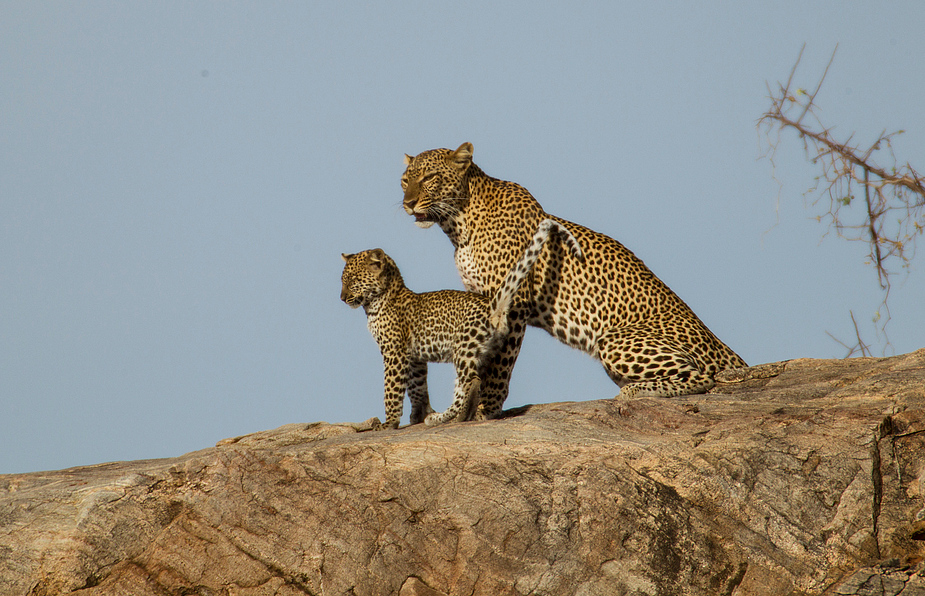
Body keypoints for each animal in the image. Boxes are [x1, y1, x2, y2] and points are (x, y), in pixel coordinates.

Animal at [402, 141, 744, 416]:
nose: (407, 203)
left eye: (429, 178)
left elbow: (500, 364)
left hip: (614, 340)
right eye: (405, 180)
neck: (458, 224)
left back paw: (634, 392)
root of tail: (722, 347)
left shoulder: (513, 302)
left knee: (702, 377)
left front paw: (488, 408)